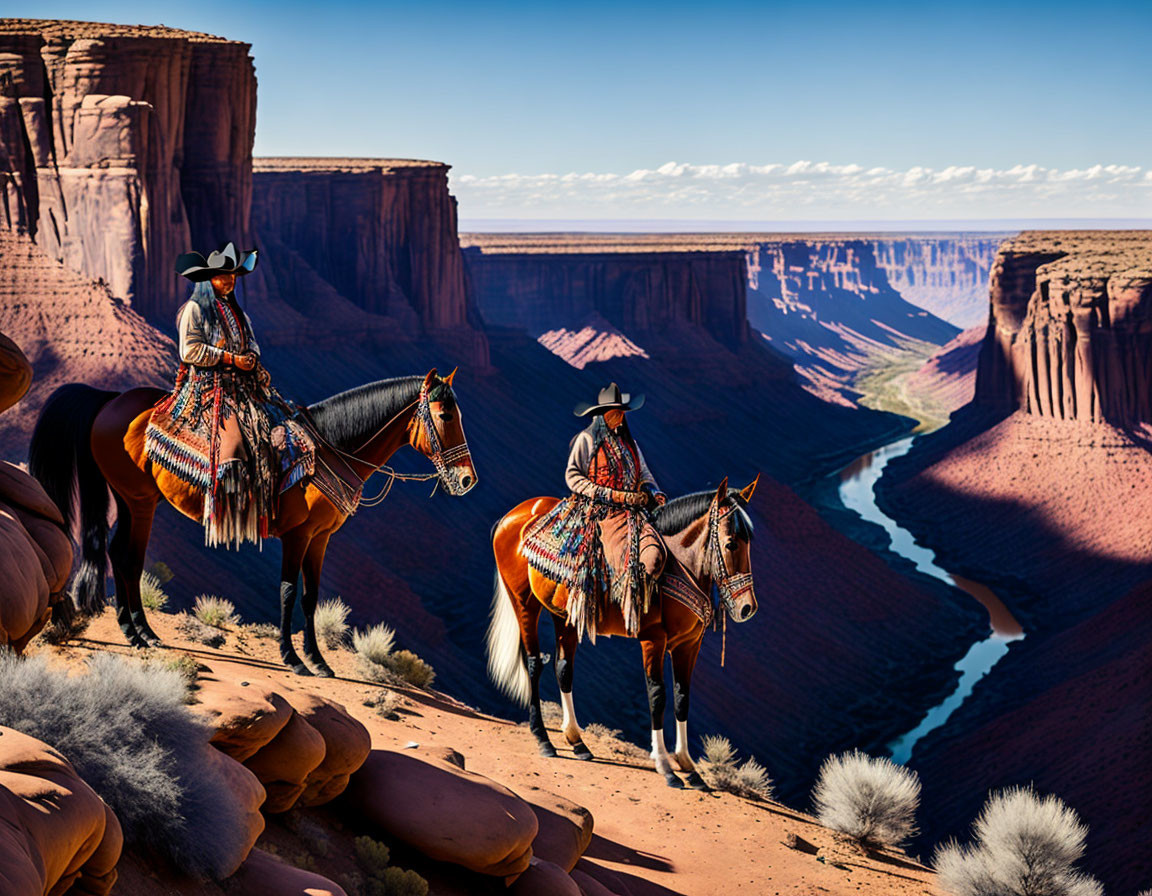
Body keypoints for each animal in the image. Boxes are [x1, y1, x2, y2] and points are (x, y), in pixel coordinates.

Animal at [29, 366, 474, 672]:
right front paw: (292, 659)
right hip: (138, 500)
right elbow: (288, 592)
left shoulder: (321, 538)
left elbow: (312, 598)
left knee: (123, 555)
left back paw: (140, 633)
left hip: (132, 498)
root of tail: (110, 400)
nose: (467, 479)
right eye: (444, 416)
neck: (332, 449)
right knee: (126, 557)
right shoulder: (298, 535)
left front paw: (319, 662)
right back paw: (137, 634)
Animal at [483, 474, 755, 783]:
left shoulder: (689, 644)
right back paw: (543, 739)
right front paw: (665, 766)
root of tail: (510, 517)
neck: (678, 566)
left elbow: (682, 698)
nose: (747, 607)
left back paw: (577, 741)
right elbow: (657, 696)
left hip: (563, 615)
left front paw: (689, 767)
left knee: (563, 668)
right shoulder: (653, 640)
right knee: (532, 663)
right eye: (731, 543)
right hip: (523, 602)